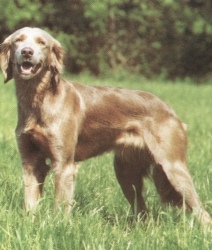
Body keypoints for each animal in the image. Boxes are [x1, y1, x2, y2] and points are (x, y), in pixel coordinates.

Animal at [0, 26, 211, 225]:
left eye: (41, 42)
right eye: (18, 40)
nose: (27, 52)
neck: (38, 99)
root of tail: (171, 111)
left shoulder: (64, 164)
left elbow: (60, 206)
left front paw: (57, 226)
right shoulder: (31, 162)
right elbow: (29, 203)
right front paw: (29, 226)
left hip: (172, 167)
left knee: (202, 212)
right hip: (126, 172)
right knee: (143, 212)